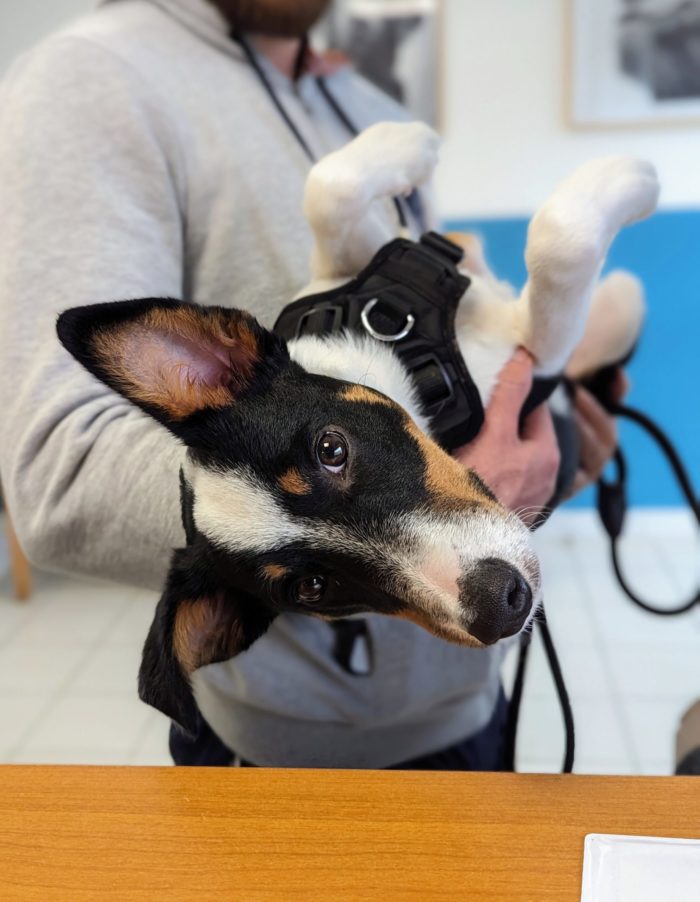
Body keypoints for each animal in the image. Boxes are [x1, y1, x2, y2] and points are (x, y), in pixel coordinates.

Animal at [57, 120, 660, 732]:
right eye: (314, 587)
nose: (502, 606)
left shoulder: (352, 269)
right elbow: (560, 246)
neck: (400, 346)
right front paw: (633, 177)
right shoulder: (539, 355)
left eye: (331, 447)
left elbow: (330, 190)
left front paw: (407, 145)